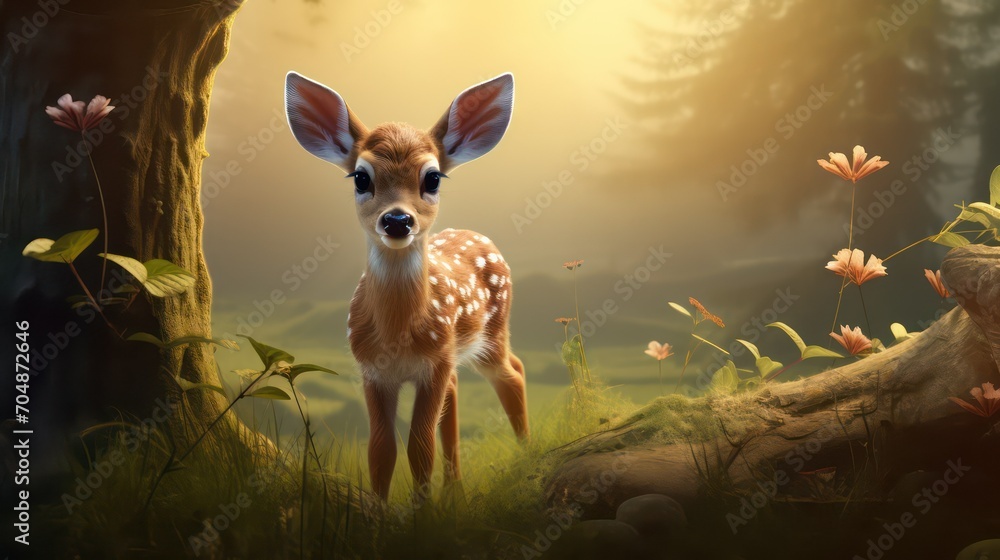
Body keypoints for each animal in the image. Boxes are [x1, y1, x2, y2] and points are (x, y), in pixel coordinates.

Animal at [284, 71, 528, 500]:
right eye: (360, 177)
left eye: (432, 177)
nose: (397, 220)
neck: (398, 333)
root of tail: (481, 236)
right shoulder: (372, 370)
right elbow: (381, 450)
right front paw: (383, 511)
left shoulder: (434, 362)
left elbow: (419, 447)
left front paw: (422, 512)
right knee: (459, 391)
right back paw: (455, 490)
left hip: (492, 331)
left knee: (513, 374)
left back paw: (527, 458)